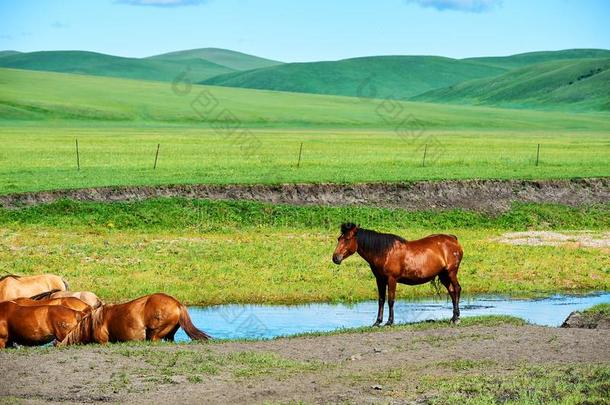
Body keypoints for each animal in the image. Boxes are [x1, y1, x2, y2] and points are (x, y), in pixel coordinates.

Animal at [330, 223, 464, 324]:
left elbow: (391, 300)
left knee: (457, 289)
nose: (335, 258)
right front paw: (377, 322)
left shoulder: (392, 279)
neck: (384, 252)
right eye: (339, 238)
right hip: (443, 275)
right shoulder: (380, 279)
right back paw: (454, 317)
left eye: (347, 239)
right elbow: (381, 300)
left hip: (451, 272)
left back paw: (456, 318)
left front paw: (389, 321)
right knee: (452, 291)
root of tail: (453, 239)